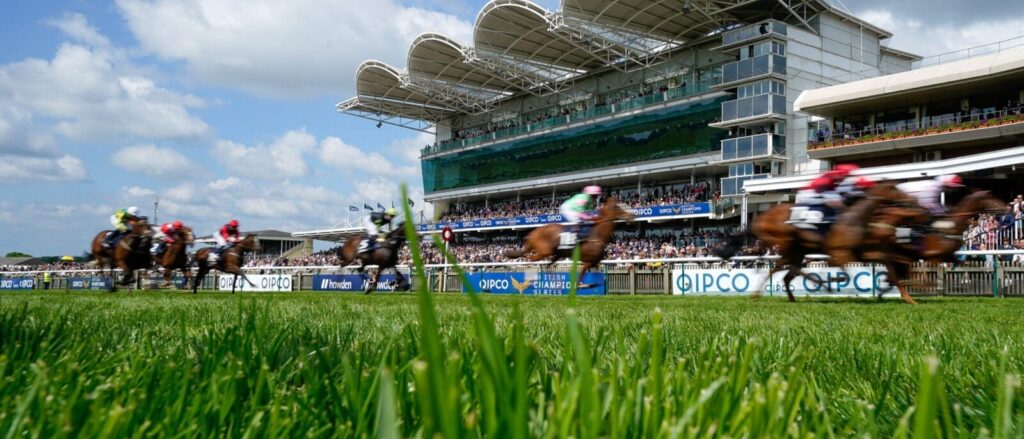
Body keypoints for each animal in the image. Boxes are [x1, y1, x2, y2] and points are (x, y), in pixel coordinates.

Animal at [501, 196, 630, 286]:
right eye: (618, 207)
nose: (632, 215)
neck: (597, 234)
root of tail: (533, 233)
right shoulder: (587, 262)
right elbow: (580, 277)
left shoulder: (595, 262)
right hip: (545, 251)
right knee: (531, 259)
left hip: (557, 254)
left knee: (546, 266)